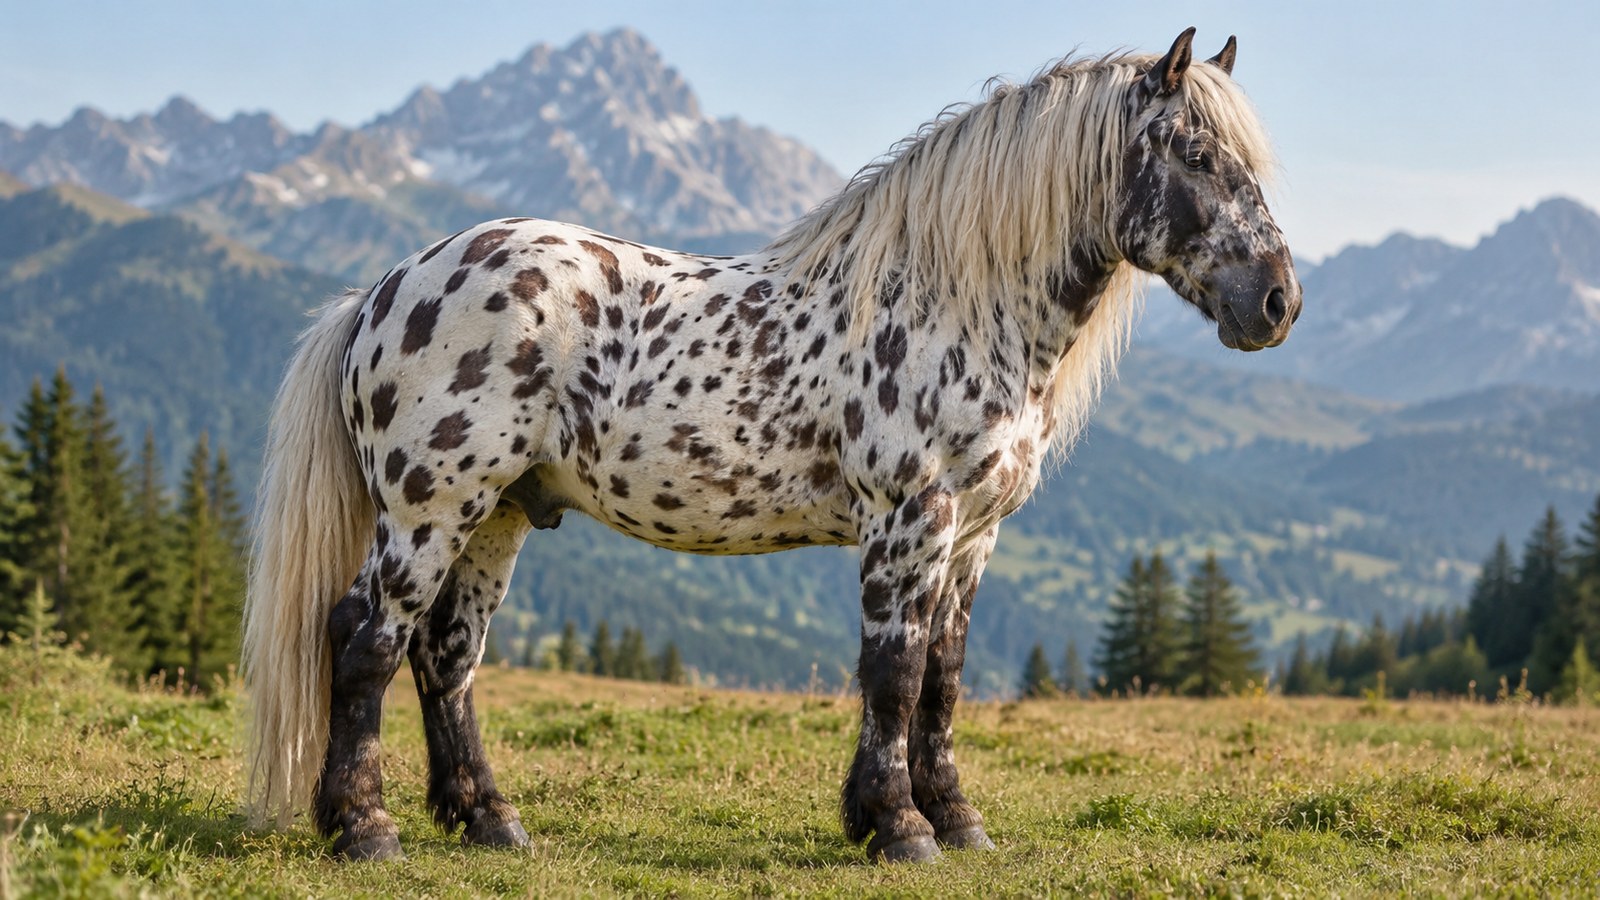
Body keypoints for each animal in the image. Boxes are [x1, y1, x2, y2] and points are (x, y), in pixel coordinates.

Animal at [242, 27, 1300, 864]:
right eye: (1195, 152)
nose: (1277, 302)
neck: (957, 304)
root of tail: (383, 291)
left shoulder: (973, 535)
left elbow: (943, 680)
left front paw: (953, 821)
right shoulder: (909, 521)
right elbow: (894, 673)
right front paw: (900, 829)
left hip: (497, 515)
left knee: (448, 656)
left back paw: (490, 822)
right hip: (428, 510)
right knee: (366, 639)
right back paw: (363, 829)